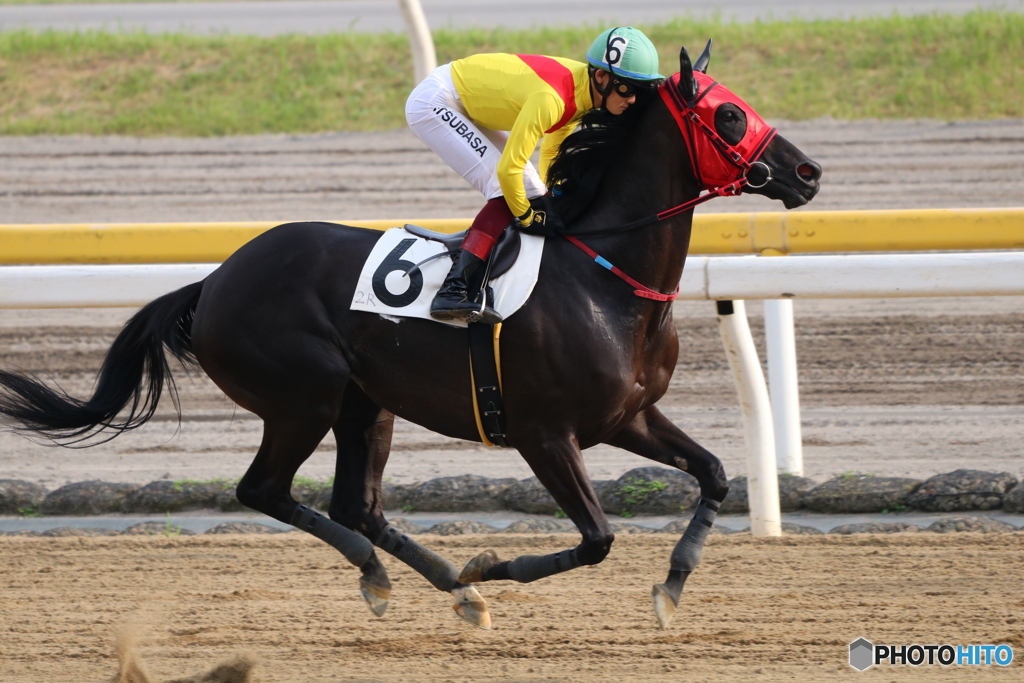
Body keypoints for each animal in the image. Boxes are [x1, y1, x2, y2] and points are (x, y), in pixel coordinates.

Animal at [0, 44, 819, 630]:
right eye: (731, 116)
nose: (809, 172)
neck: (602, 276)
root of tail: (214, 280)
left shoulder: (629, 416)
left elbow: (715, 472)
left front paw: (674, 582)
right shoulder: (545, 433)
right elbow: (596, 538)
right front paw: (489, 567)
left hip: (368, 403)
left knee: (355, 504)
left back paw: (446, 587)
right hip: (305, 397)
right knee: (265, 489)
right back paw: (394, 575)